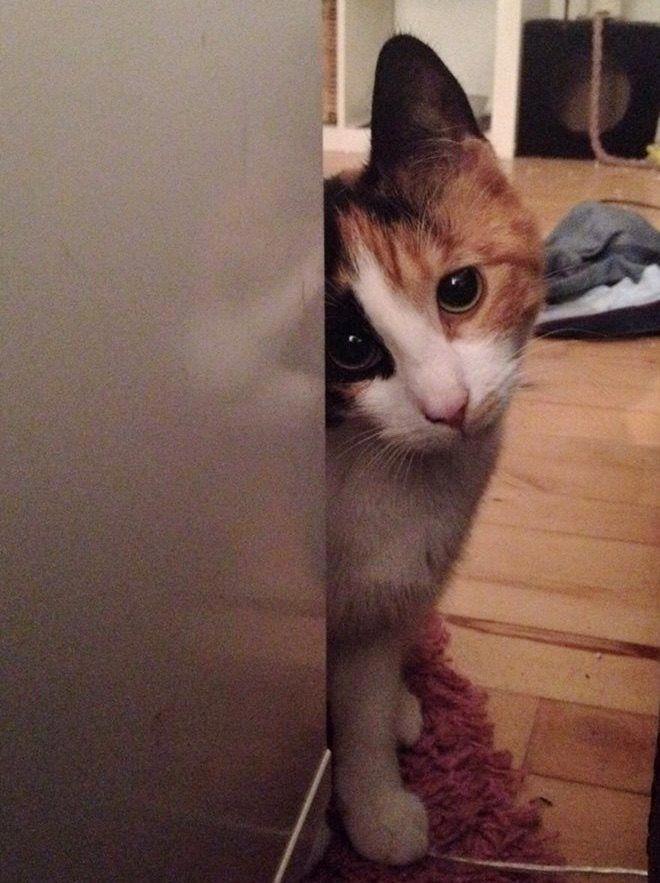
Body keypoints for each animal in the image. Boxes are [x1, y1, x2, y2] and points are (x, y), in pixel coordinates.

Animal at [325, 36, 544, 865]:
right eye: (351, 348)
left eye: (459, 290)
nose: (448, 408)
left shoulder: (376, 606)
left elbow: (359, 703)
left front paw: (376, 804)